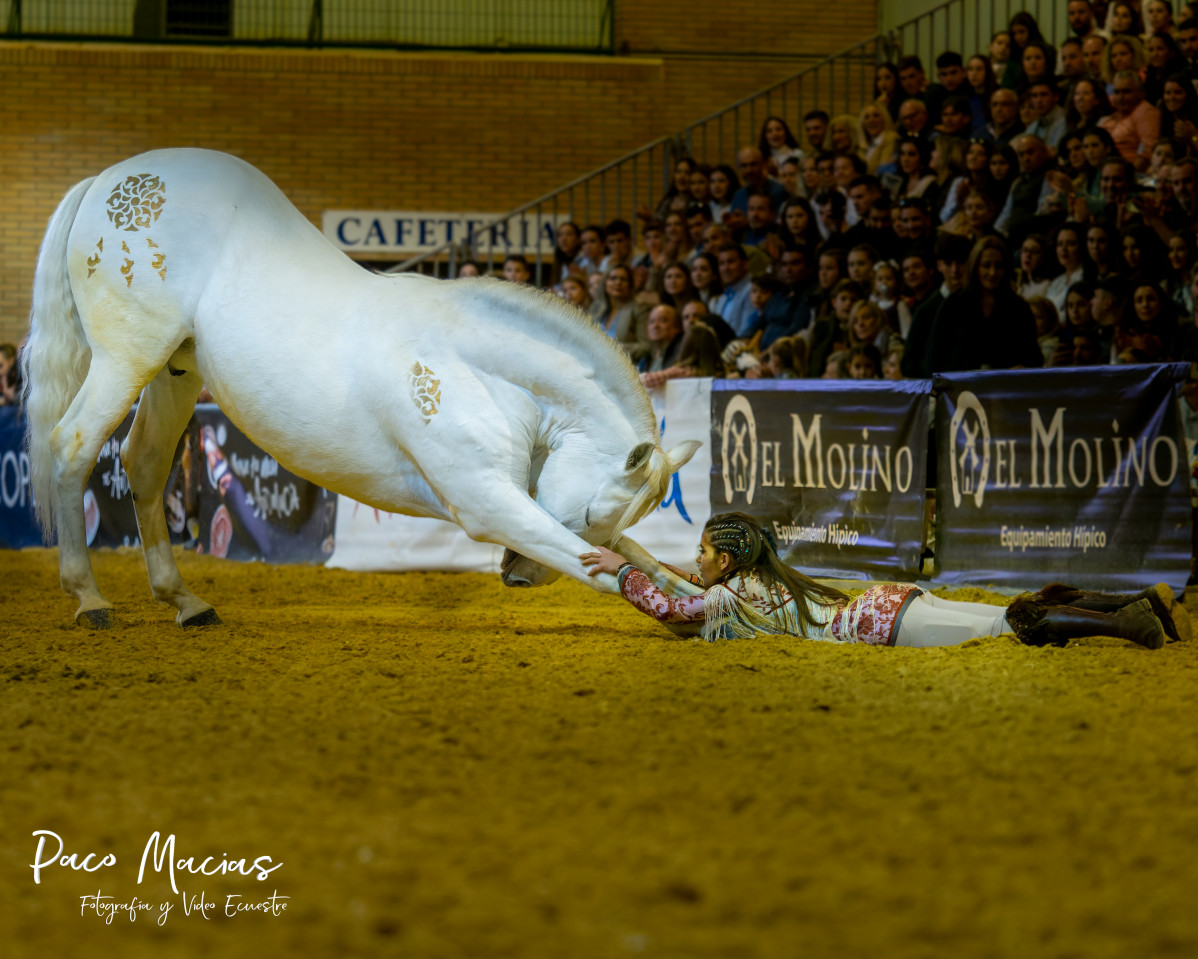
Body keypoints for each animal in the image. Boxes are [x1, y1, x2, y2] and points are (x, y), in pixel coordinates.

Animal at [23, 147, 699, 627]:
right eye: (588, 514)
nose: (518, 578)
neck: (476, 368)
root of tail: (111, 177)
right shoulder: (484, 500)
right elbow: (596, 569)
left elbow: (642, 558)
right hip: (126, 359)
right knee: (72, 446)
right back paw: (89, 599)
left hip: (176, 371)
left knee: (142, 463)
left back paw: (184, 600)